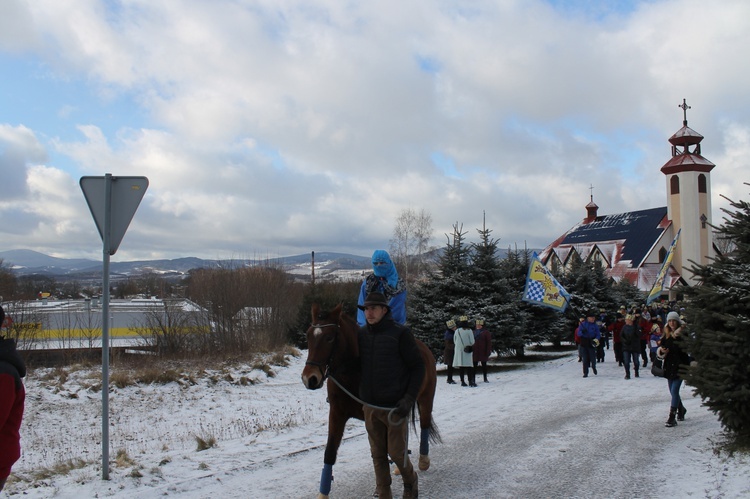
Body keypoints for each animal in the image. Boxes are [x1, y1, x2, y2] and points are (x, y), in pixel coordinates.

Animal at [300, 302, 440, 498]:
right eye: (308, 336)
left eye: (329, 338)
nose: (310, 378)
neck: (352, 372)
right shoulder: (338, 413)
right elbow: (330, 452)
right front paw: (323, 493)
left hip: (426, 398)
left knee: (424, 424)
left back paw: (422, 461)